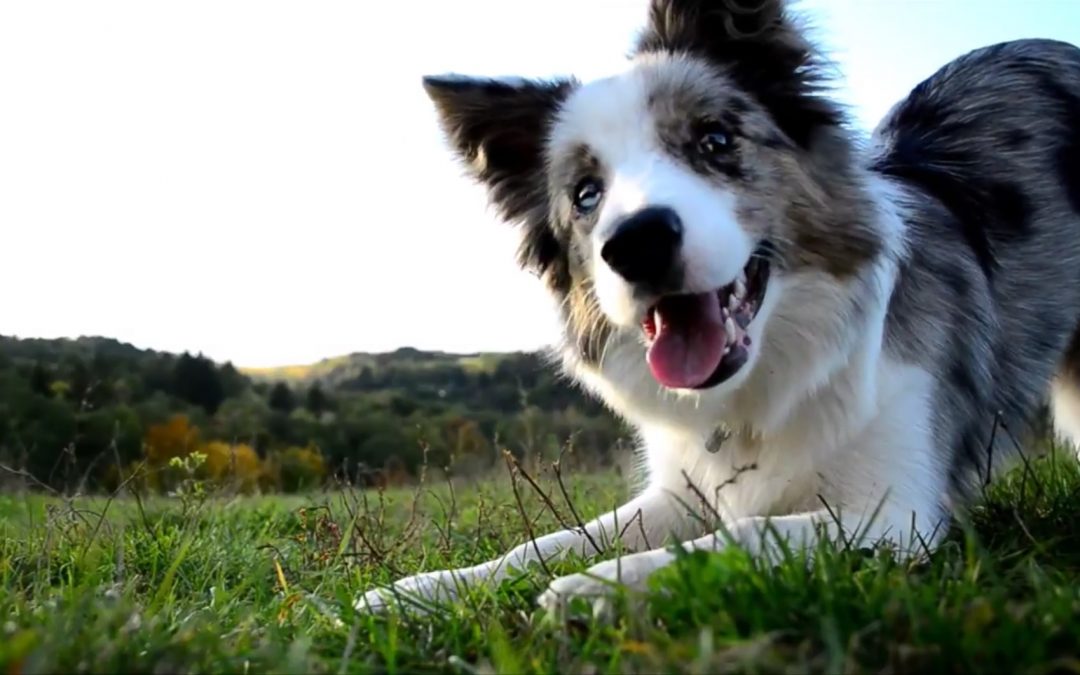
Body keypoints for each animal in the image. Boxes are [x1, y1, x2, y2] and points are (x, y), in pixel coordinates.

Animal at [360, 0, 1080, 613]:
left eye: (714, 140)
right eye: (587, 194)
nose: (637, 243)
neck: (765, 386)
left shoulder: (893, 513)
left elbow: (744, 534)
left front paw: (594, 587)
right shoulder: (682, 492)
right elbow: (548, 540)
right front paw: (419, 590)